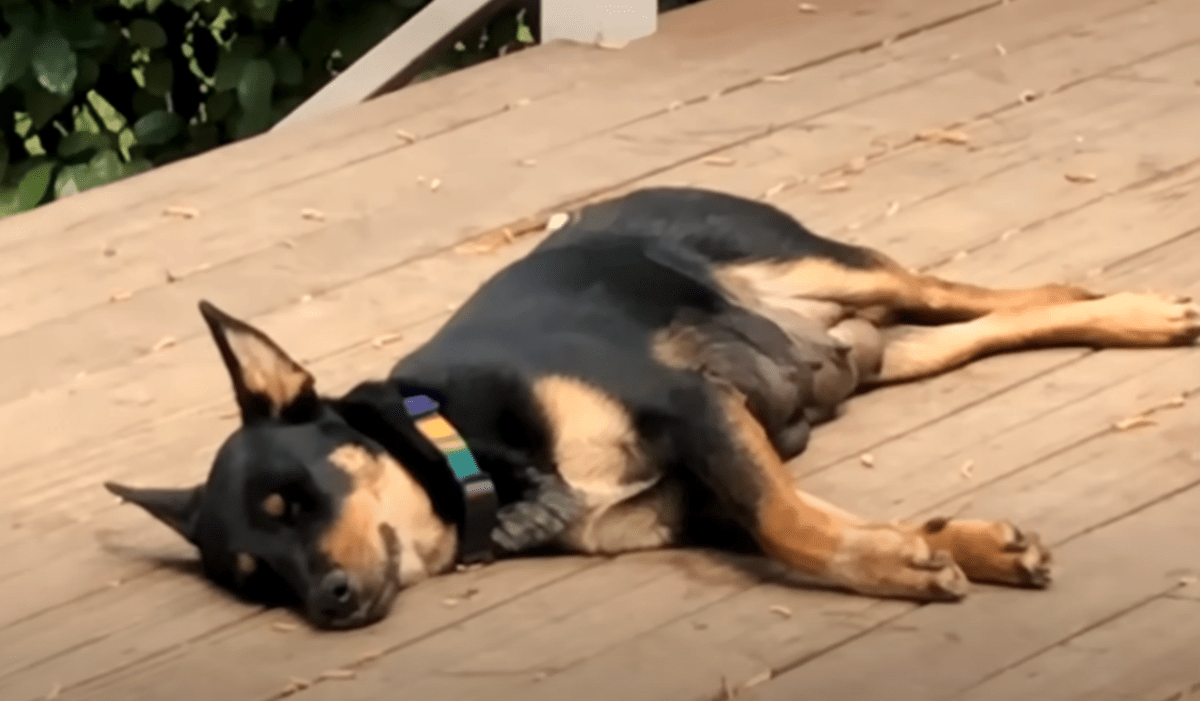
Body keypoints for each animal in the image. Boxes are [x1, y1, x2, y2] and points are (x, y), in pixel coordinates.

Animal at [105, 186, 1200, 628]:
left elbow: (787, 520)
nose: (327, 603)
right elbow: (811, 512)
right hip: (889, 350)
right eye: (258, 578)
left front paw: (897, 566)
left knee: (1013, 290)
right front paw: (953, 544)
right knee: (1010, 316)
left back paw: (1150, 312)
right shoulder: (702, 480)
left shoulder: (693, 407)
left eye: (294, 498)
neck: (473, 450)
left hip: (835, 268)